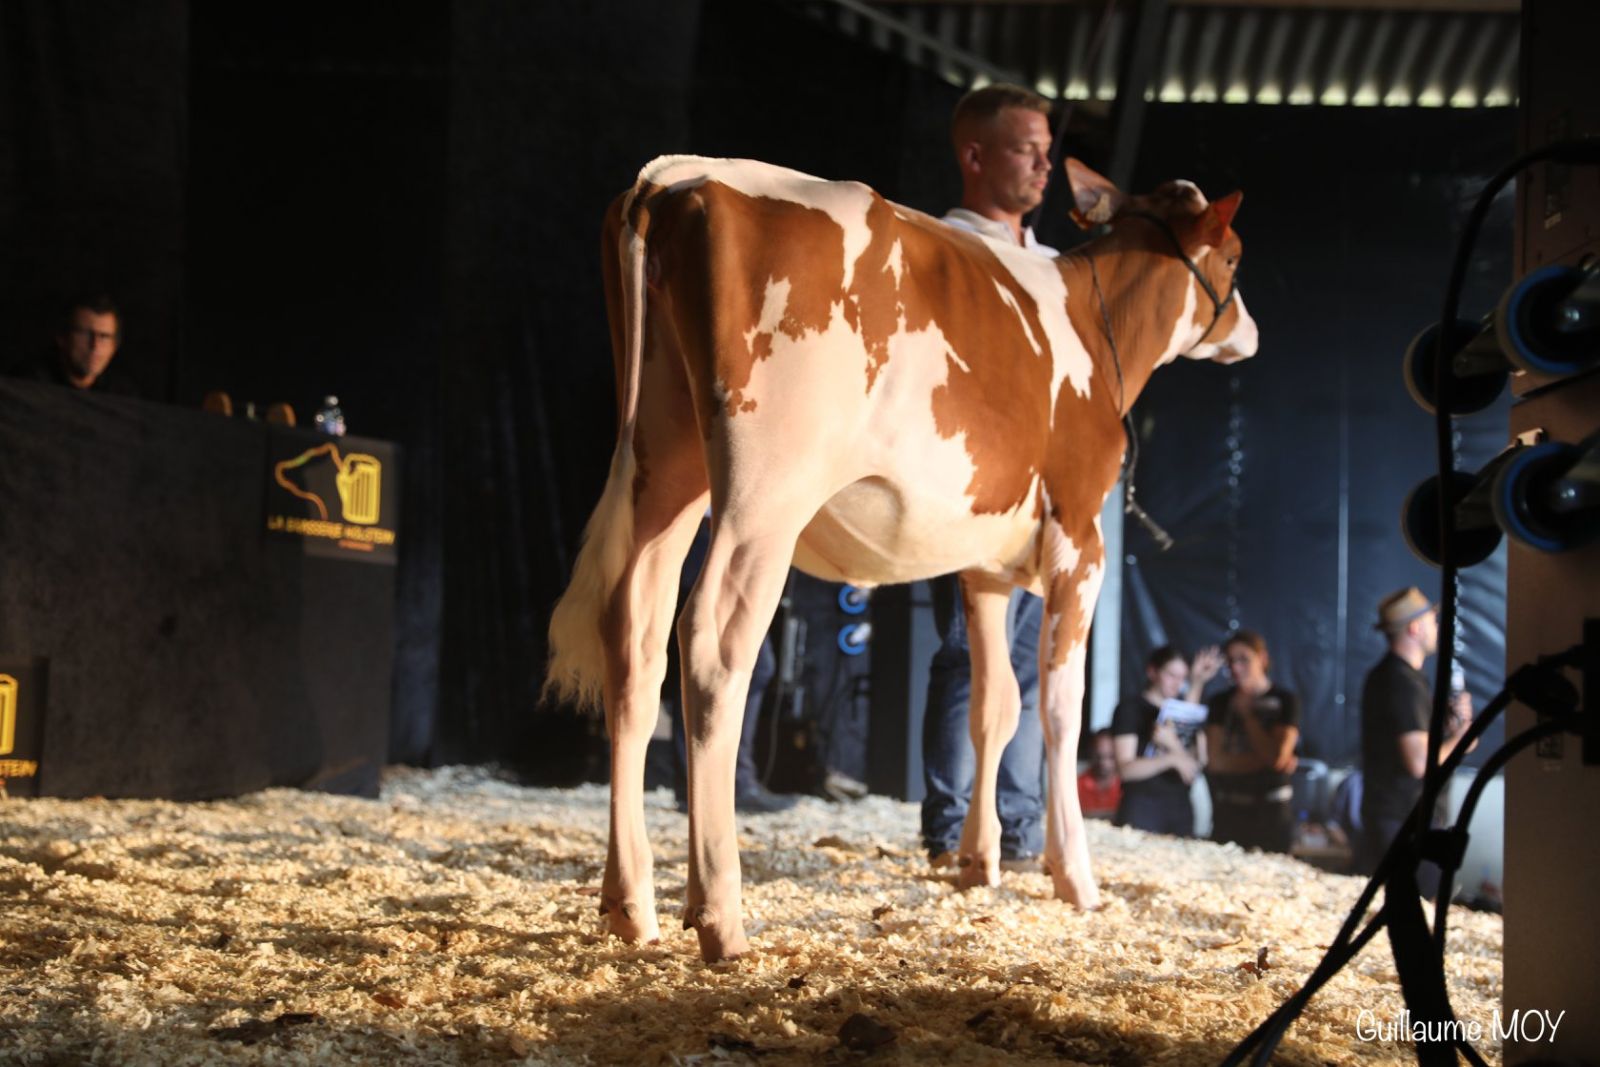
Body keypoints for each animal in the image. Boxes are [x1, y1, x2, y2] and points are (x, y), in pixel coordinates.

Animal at [545, 154, 1258, 962]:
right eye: (1234, 257)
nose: (1250, 330)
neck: (1092, 327)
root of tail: (679, 178)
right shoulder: (1082, 540)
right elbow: (1059, 709)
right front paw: (1074, 876)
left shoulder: (984, 566)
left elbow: (991, 707)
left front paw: (980, 862)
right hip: (764, 488)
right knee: (712, 644)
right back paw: (721, 915)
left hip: (663, 465)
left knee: (631, 636)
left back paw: (629, 905)